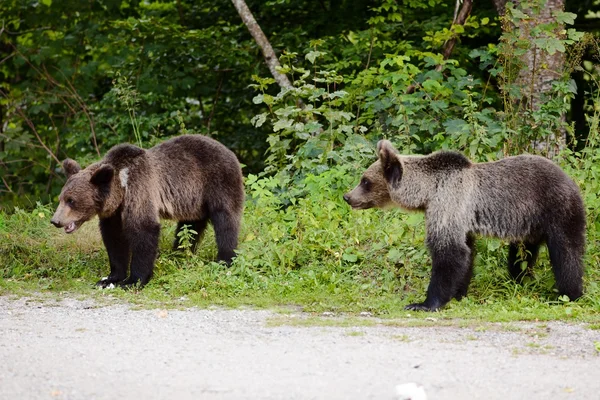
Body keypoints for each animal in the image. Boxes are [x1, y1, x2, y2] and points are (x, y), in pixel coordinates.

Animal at [48, 135, 243, 288]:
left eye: (71, 201)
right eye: (61, 198)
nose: (55, 221)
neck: (122, 187)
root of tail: (229, 150)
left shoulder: (140, 189)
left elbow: (144, 231)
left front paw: (133, 280)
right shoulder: (114, 213)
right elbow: (114, 239)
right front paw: (109, 278)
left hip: (218, 181)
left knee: (225, 221)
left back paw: (225, 260)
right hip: (193, 200)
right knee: (189, 227)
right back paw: (178, 254)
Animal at [344, 139, 584, 310]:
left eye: (365, 181)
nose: (348, 197)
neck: (427, 192)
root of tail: (570, 179)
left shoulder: (448, 203)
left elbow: (449, 253)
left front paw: (424, 303)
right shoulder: (460, 219)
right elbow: (466, 253)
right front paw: (459, 293)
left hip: (557, 209)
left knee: (567, 253)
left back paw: (568, 294)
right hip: (529, 224)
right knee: (521, 255)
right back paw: (518, 279)